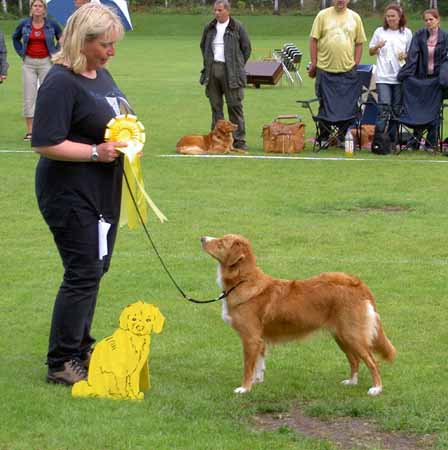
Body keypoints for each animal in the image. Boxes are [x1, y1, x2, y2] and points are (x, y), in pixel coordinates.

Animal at [201, 234, 398, 396]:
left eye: (221, 243)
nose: (202, 238)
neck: (243, 280)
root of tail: (356, 283)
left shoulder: (250, 338)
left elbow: (248, 367)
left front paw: (244, 388)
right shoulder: (259, 339)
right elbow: (259, 364)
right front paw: (257, 382)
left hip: (352, 335)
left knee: (372, 361)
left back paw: (376, 389)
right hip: (342, 336)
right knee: (354, 360)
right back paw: (351, 381)